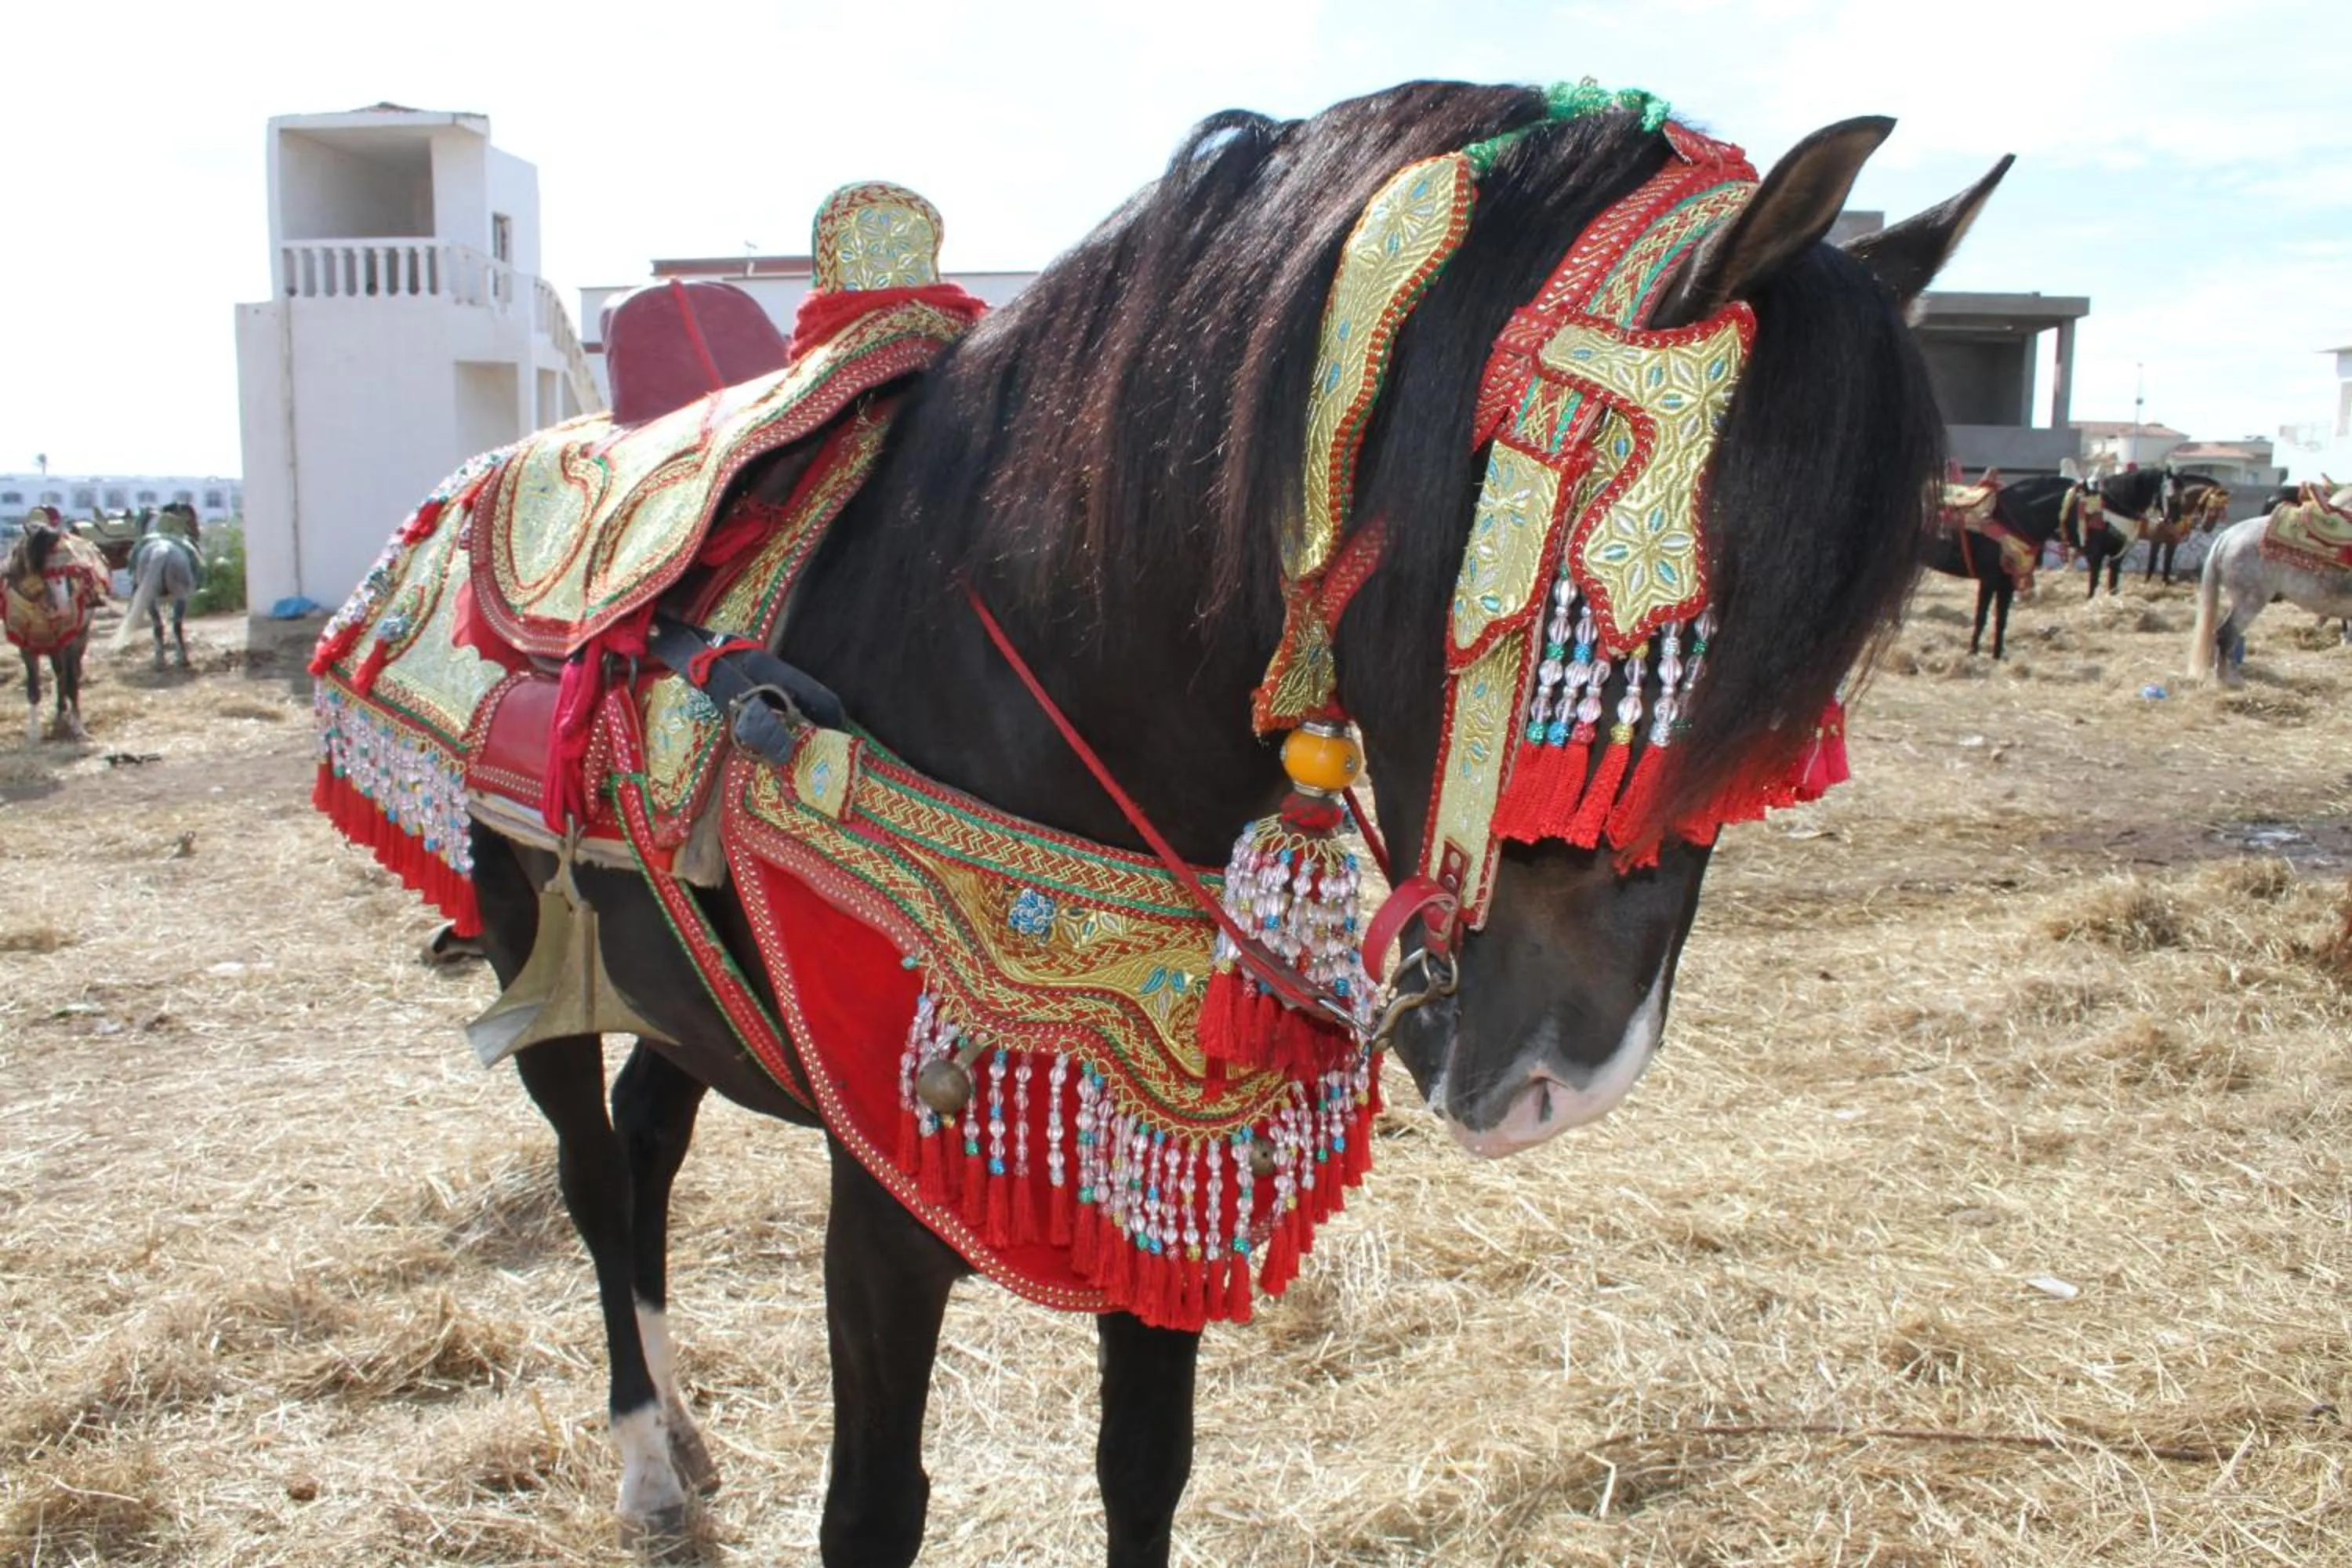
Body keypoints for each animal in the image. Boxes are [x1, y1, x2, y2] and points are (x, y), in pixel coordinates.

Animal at [3, 507, 110, 742]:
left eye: (69, 565)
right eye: (42, 565)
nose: (63, 607)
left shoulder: (70, 641)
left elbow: (71, 683)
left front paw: (78, 727)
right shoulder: (27, 645)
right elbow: (34, 689)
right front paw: (34, 733)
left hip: (77, 638)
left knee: (69, 676)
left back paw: (65, 714)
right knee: (59, 673)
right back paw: (60, 713)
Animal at [115, 507, 205, 670]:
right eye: (192, 518)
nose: (197, 533)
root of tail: (162, 550)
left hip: (149, 600)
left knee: (158, 626)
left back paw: (159, 661)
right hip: (180, 597)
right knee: (176, 625)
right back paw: (183, 659)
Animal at [338, 84, 2004, 1561]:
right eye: (1625, 645)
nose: (1569, 1083)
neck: (1011, 641)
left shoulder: (1153, 1146)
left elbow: (1145, 1465)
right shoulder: (887, 1172)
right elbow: (874, 1511)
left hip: (676, 979)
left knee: (647, 1137)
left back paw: (681, 1432)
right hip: (534, 950)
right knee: (590, 1170)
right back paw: (644, 1459)